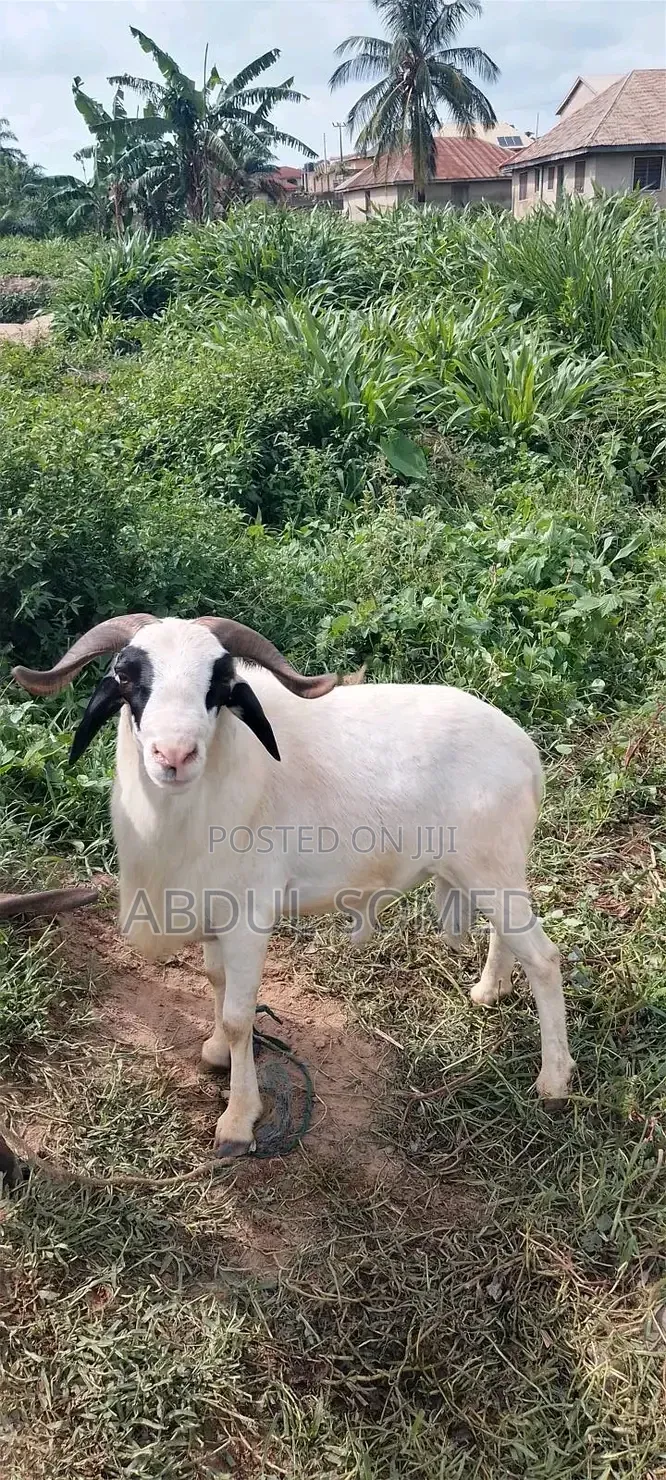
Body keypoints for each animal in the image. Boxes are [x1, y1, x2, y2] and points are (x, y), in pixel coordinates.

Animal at [13, 614, 575, 1158]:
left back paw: (553, 1082)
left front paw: (238, 1121)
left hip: (487, 865)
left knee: (544, 958)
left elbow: (240, 1016)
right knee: (509, 935)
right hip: (486, 870)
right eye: (127, 675)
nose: (174, 755)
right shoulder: (215, 907)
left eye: (221, 682)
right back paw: (489, 991)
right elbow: (216, 983)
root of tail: (525, 750)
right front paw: (216, 1053)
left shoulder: (248, 916)